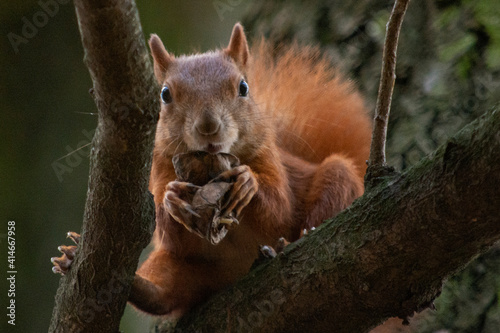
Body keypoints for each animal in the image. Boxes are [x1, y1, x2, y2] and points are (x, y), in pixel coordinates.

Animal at [52, 22, 372, 318]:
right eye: (165, 94)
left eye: (243, 88)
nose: (208, 127)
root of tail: (235, 272)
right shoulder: (159, 171)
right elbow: (168, 232)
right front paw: (171, 199)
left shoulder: (271, 160)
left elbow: (279, 207)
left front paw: (248, 183)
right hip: (182, 268)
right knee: (162, 296)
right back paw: (107, 273)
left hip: (337, 177)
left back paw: (289, 242)